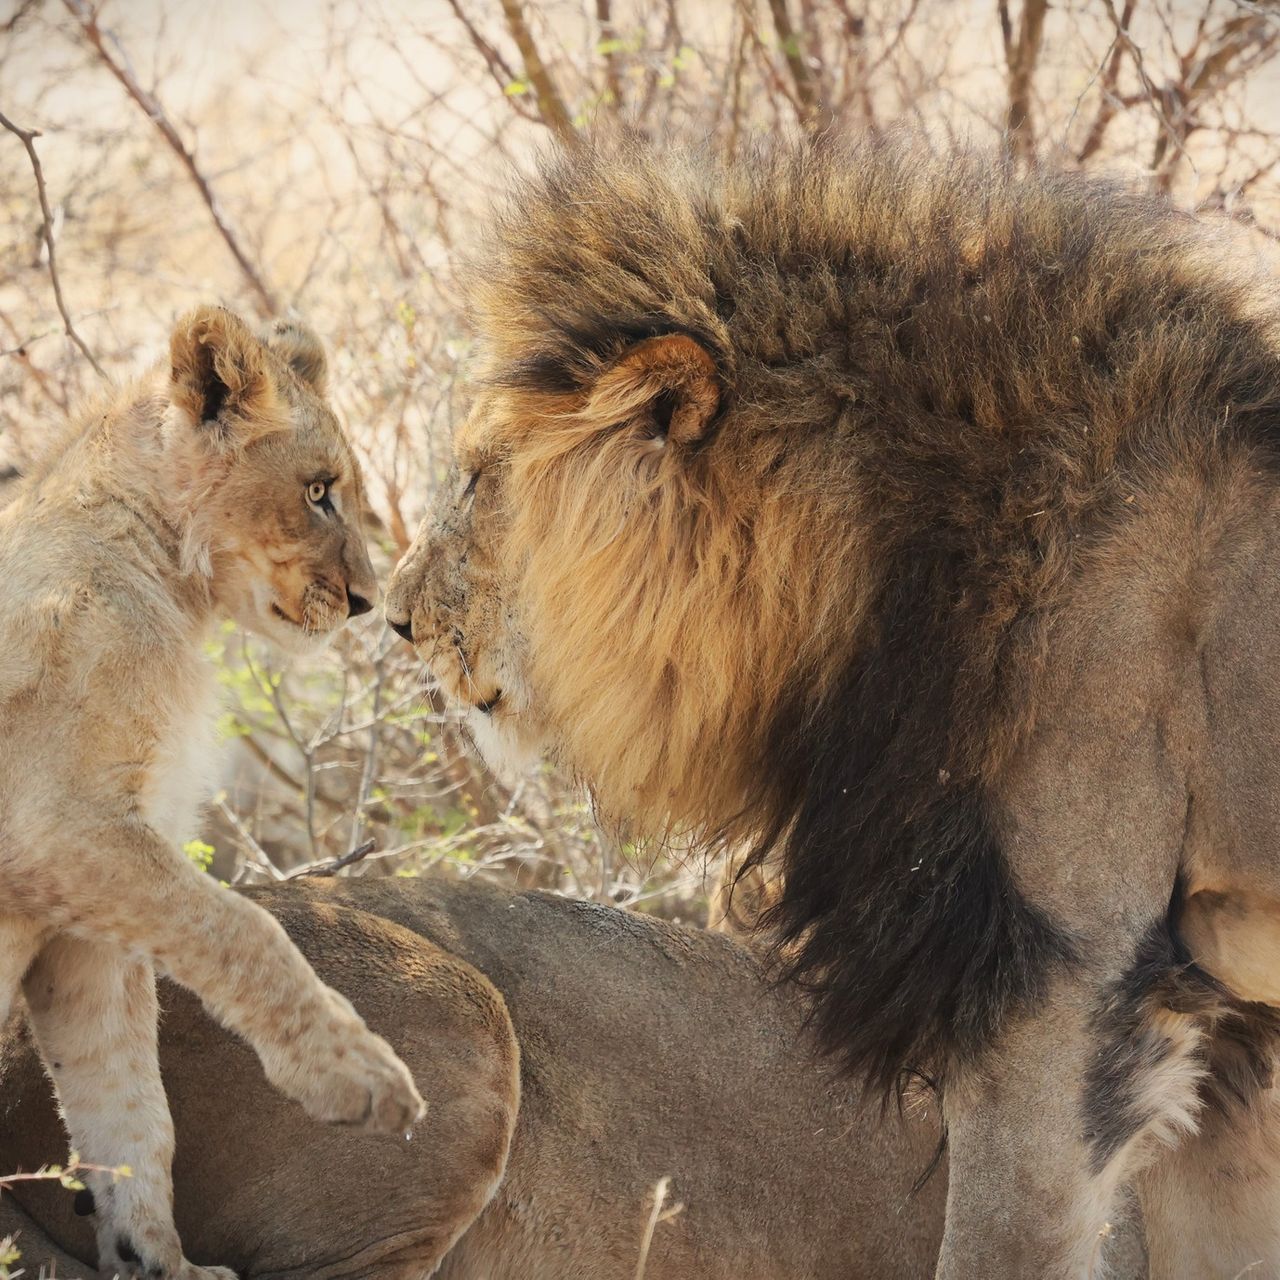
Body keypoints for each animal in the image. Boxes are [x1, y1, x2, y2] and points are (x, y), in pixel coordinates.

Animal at [0, 307, 423, 1280]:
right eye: (318, 491)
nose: (366, 602)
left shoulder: (84, 920)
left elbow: (129, 1108)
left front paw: (157, 1262)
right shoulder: (54, 827)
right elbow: (246, 928)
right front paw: (357, 1073)